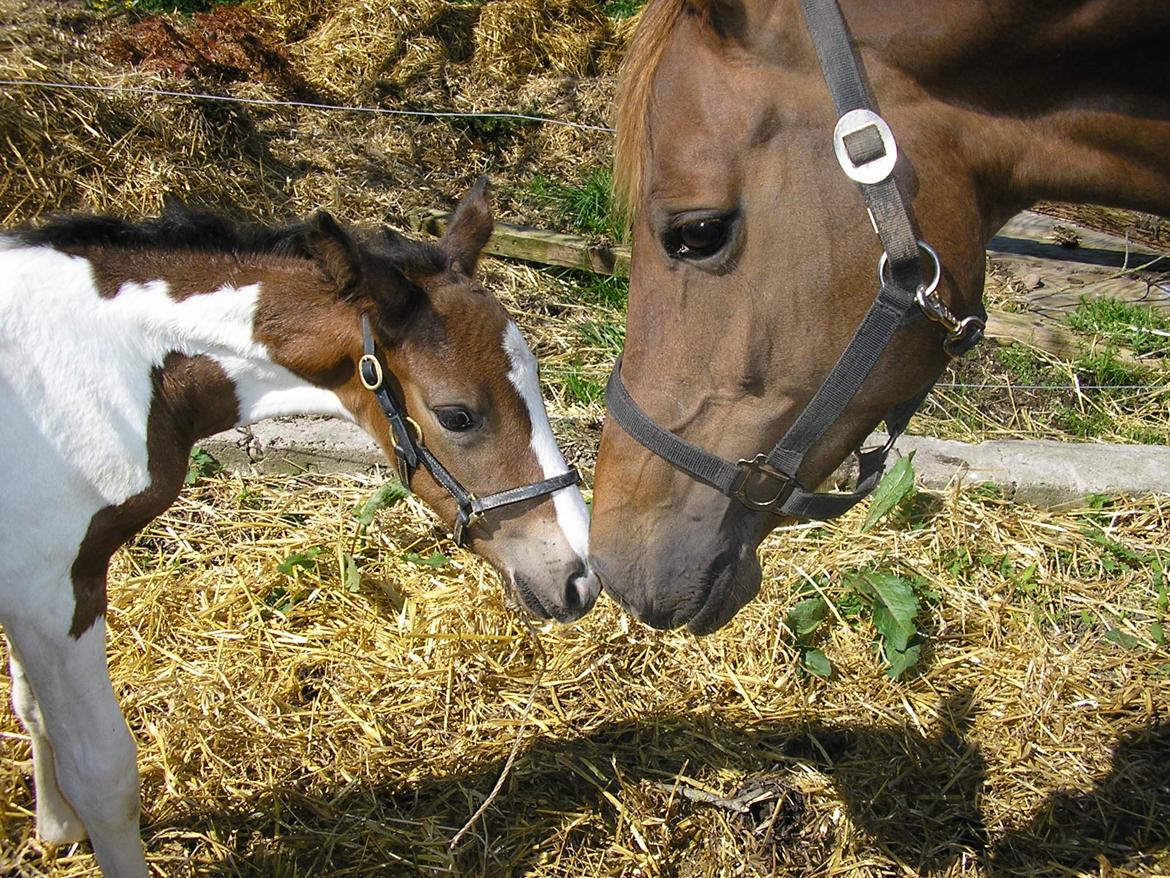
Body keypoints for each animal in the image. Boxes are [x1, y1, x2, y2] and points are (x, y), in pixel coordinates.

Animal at [0, 180, 599, 878]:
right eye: (457, 415)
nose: (580, 578)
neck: (93, 366)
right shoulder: (53, 592)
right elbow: (103, 774)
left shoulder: (26, 590)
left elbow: (31, 706)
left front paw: (55, 827)